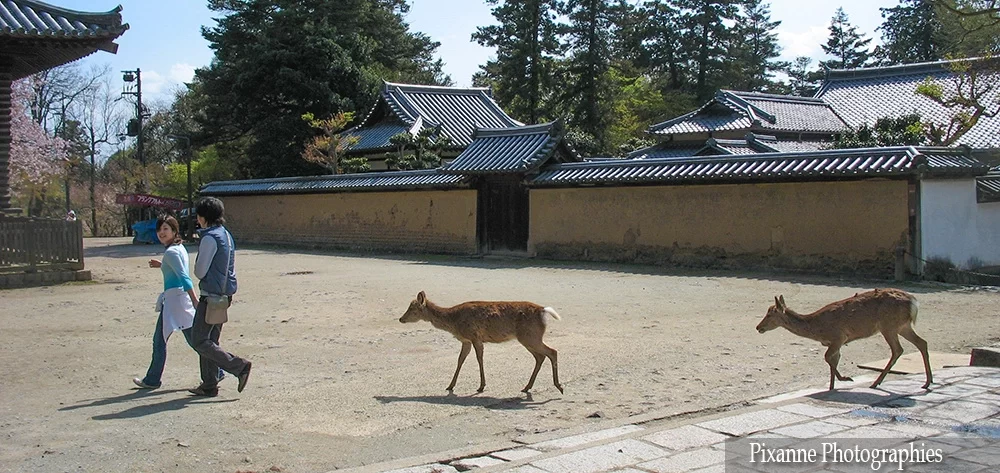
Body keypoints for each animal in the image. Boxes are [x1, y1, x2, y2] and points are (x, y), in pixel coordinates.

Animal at [398, 291, 563, 394]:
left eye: (412, 309)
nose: (401, 319)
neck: (453, 320)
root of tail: (543, 310)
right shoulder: (466, 340)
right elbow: (460, 360)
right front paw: (450, 385)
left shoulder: (475, 336)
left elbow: (479, 359)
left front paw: (481, 386)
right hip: (529, 338)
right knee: (540, 357)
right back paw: (527, 387)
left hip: (530, 336)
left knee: (552, 352)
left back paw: (558, 386)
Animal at [756, 288, 932, 391]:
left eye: (770, 314)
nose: (758, 327)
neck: (816, 328)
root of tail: (914, 303)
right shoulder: (836, 343)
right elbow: (834, 360)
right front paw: (832, 387)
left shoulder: (839, 336)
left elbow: (827, 358)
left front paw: (846, 379)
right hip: (903, 326)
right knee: (922, 343)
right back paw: (928, 382)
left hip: (888, 326)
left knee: (898, 350)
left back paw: (876, 383)